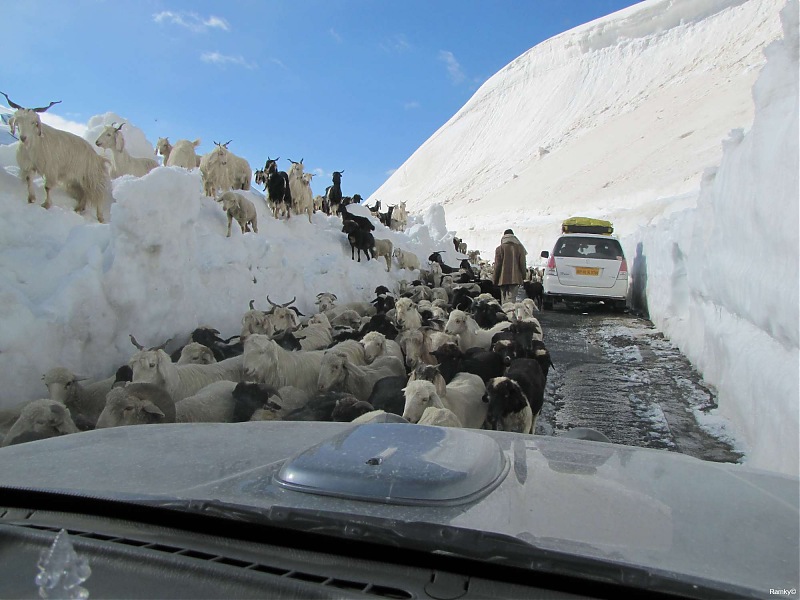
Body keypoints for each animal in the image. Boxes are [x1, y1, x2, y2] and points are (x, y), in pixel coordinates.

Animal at [3, 94, 109, 223]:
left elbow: (47, 187)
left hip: (91, 178)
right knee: (85, 194)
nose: (23, 137)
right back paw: (78, 209)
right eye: (18, 121)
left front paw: (46, 204)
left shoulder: (51, 169)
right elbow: (29, 179)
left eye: (33, 122)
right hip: (76, 181)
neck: (35, 144)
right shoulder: (29, 166)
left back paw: (100, 218)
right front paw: (31, 199)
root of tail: (97, 156)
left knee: (98, 196)